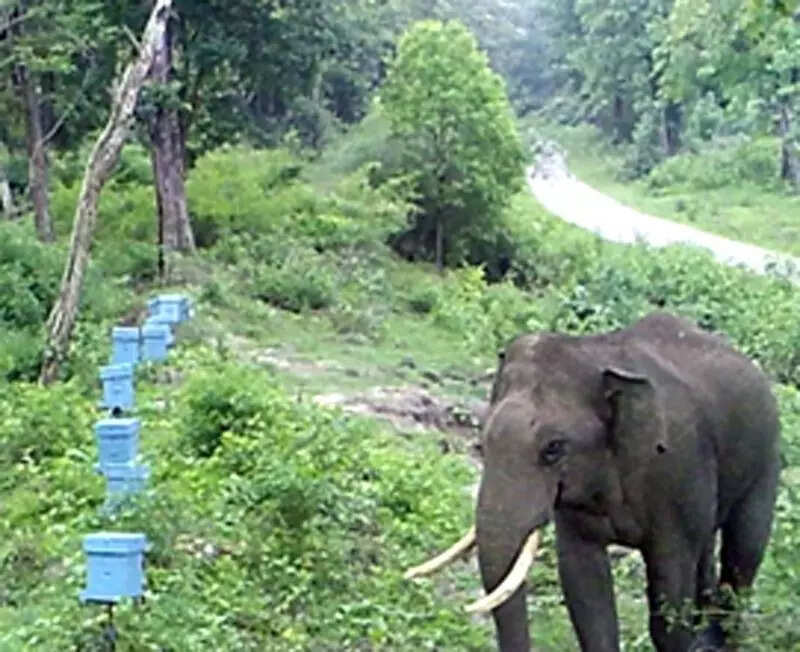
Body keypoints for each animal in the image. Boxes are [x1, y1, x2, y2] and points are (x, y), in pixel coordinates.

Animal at [404, 312, 780, 651]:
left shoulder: (678, 468)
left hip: (766, 458)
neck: (594, 354)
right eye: (482, 442)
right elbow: (585, 592)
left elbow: (669, 595)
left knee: (743, 551)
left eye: (553, 449)